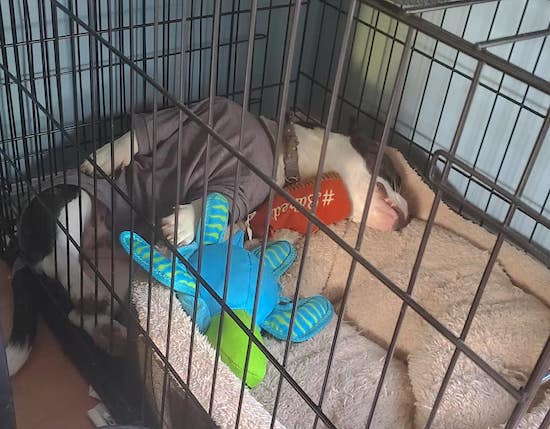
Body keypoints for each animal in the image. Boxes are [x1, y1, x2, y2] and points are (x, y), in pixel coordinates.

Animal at [8, 96, 410, 372]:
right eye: (394, 175)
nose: (408, 219)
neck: (282, 150)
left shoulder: (243, 191)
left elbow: (216, 200)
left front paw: (185, 223)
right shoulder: (193, 112)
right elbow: (139, 132)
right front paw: (105, 158)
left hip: (118, 278)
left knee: (80, 310)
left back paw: (109, 330)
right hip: (73, 200)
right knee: (63, 254)